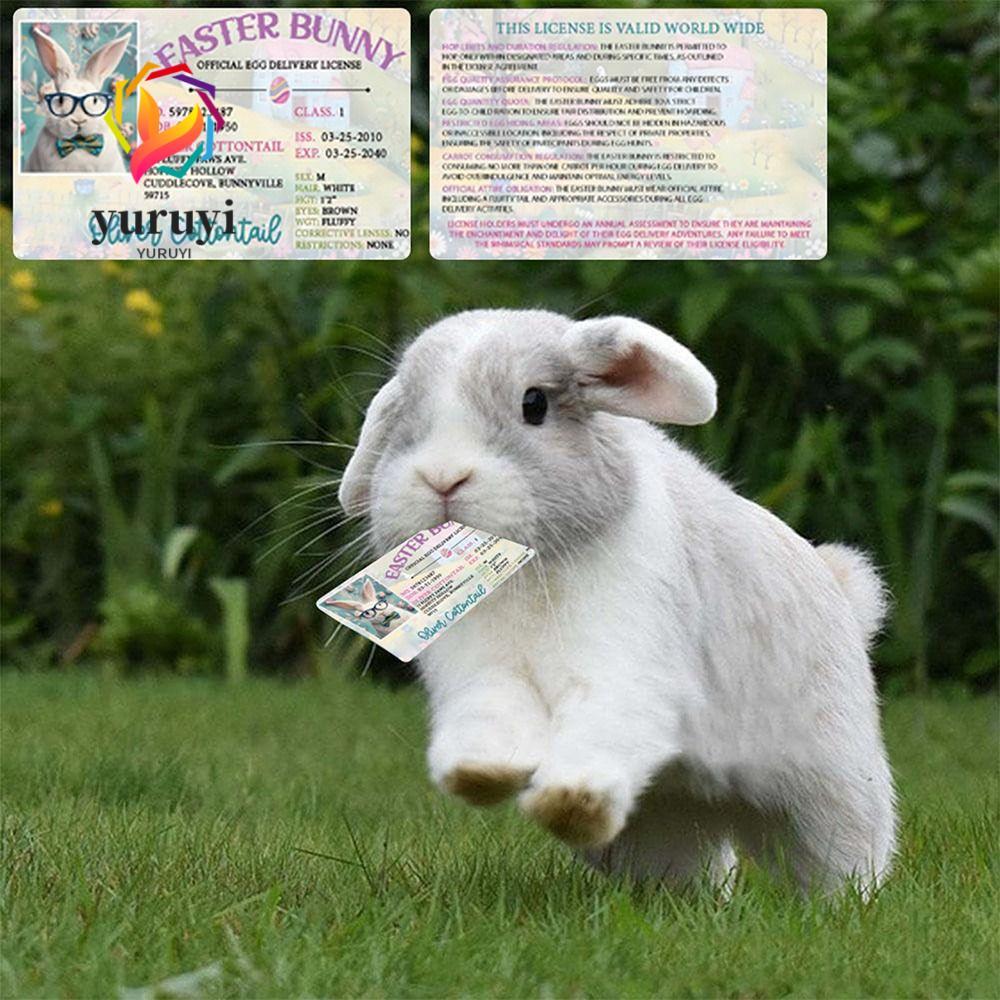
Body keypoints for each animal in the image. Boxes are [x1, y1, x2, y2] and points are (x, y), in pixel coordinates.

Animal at [338, 310, 897, 896]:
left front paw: (570, 805)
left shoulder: (626, 676)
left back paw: (848, 901)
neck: (533, 570)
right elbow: (489, 723)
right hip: (664, 829)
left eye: (534, 404)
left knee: (841, 855)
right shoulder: (487, 678)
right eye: (406, 412)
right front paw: (479, 776)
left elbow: (603, 728)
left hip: (831, 790)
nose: (442, 477)